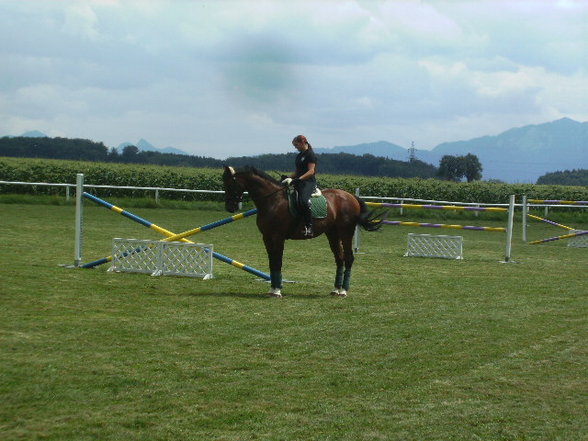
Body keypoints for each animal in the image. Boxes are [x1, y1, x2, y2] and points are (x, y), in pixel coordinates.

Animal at [223, 166, 384, 300]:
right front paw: (272, 289)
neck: (272, 200)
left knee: (349, 258)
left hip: (346, 232)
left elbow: (278, 261)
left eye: (231, 185)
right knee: (340, 258)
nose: (229, 207)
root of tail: (351, 196)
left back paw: (344, 291)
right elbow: (271, 262)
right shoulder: (267, 237)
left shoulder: (278, 237)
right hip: (332, 233)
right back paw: (335, 290)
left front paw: (277, 291)